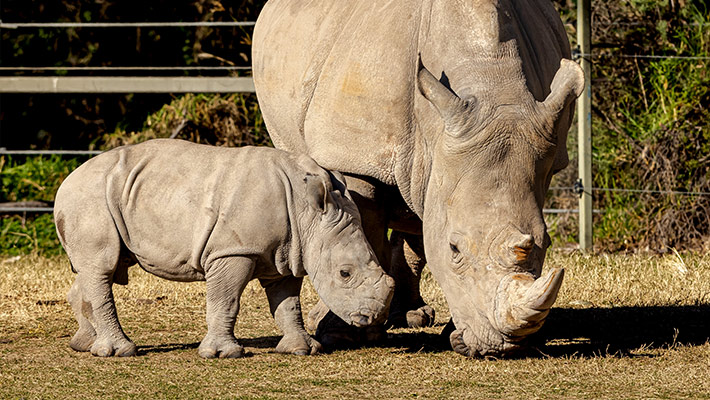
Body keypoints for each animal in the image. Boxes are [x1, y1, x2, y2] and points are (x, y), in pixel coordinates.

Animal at [54, 139, 394, 358]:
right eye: (345, 273)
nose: (373, 316)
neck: (308, 213)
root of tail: (65, 181)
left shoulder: (287, 253)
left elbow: (288, 304)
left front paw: (302, 350)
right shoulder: (233, 250)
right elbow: (226, 299)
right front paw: (222, 354)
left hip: (104, 198)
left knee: (96, 270)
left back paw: (84, 345)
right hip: (89, 199)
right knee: (102, 267)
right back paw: (121, 352)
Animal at [252, 0, 584, 357]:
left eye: (546, 243)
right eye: (454, 248)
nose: (499, 346)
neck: (492, 80)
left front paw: (453, 333)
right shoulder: (354, 155)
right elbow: (360, 231)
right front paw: (343, 335)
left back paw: (410, 317)